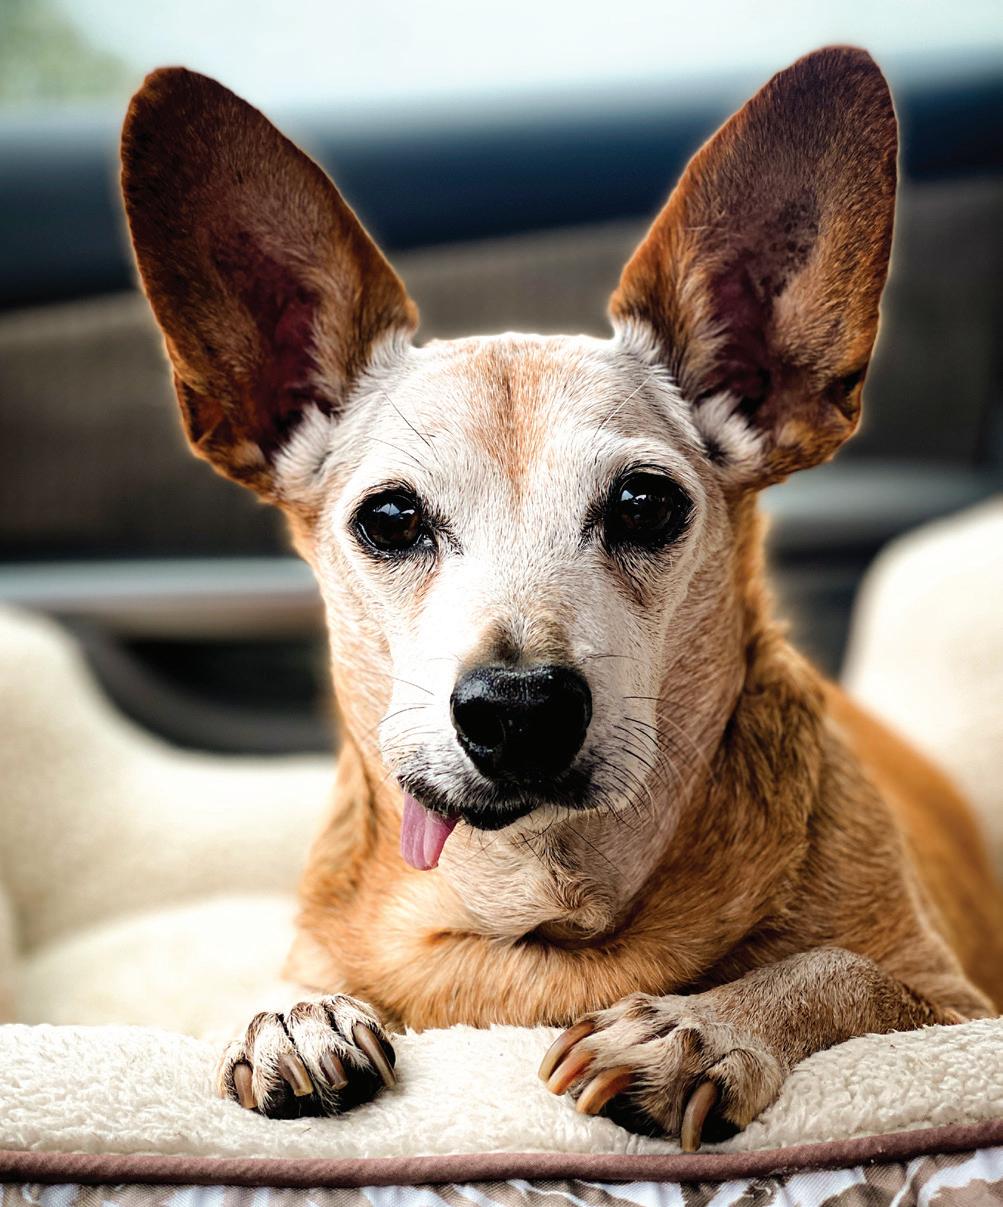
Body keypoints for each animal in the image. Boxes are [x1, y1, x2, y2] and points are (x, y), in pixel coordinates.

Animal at [120, 46, 1003, 1149]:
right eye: (391, 519)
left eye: (643, 504)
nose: (518, 706)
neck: (534, 910)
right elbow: (292, 982)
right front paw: (295, 1013)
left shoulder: (954, 1007)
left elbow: (836, 969)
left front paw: (699, 1028)